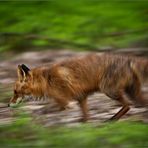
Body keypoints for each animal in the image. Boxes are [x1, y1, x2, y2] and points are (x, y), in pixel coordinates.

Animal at [8, 53, 148, 121]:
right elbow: (86, 118)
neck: (46, 80)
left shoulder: (64, 102)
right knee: (138, 104)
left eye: (15, 92)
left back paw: (111, 120)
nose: (8, 105)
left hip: (109, 90)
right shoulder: (81, 98)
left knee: (127, 105)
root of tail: (128, 59)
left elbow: (40, 111)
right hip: (132, 93)